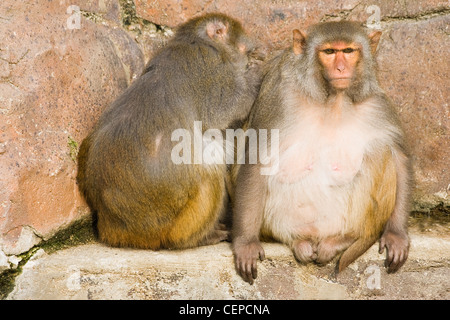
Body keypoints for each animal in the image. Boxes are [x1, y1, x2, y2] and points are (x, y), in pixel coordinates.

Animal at [75, 13, 262, 250]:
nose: (250, 57)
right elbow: (228, 108)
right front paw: (255, 74)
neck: (196, 41)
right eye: (245, 50)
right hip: (175, 222)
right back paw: (198, 238)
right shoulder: (213, 70)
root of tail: (113, 226)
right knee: (210, 166)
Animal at [232, 21, 412, 284]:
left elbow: (399, 157)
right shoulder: (281, 100)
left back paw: (346, 239)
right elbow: (257, 160)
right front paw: (245, 243)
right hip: (277, 223)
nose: (340, 67)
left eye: (348, 51)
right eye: (329, 52)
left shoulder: (376, 103)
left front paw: (396, 234)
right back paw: (299, 242)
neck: (333, 99)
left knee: (380, 151)